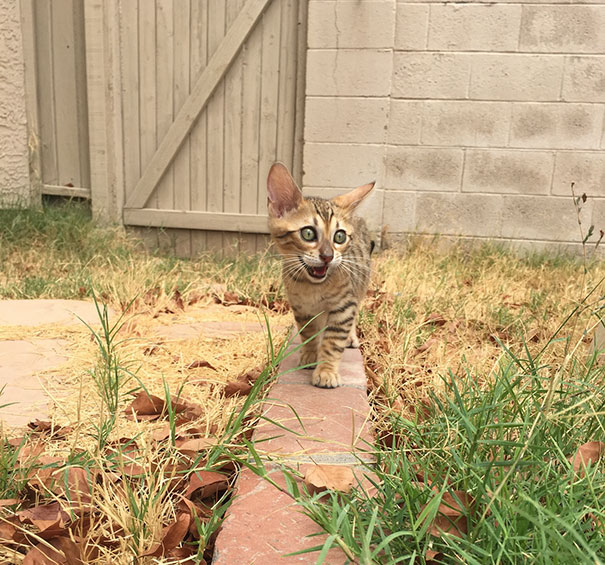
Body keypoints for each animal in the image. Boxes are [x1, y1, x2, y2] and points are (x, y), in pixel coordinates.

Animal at [266, 161, 372, 386]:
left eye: (339, 237)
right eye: (308, 233)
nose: (328, 256)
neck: (313, 287)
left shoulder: (343, 307)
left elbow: (333, 342)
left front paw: (326, 370)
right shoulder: (301, 308)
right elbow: (308, 333)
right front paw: (309, 354)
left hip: (359, 288)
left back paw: (350, 337)